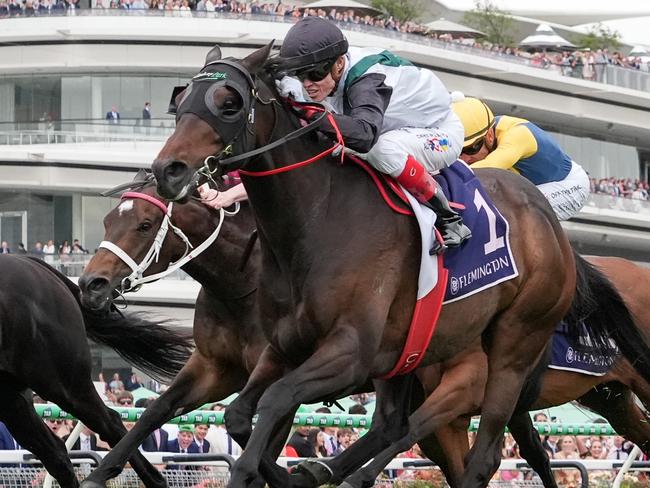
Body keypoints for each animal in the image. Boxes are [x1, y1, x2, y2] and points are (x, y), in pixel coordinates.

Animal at [149, 43, 648, 488]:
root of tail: (550, 224)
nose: (168, 170)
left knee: (484, 457)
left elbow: (274, 402)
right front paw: (297, 473)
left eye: (229, 102)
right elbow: (239, 414)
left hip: (514, 348)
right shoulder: (285, 347)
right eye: (181, 101)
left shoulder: (351, 353)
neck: (318, 218)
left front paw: (279, 473)